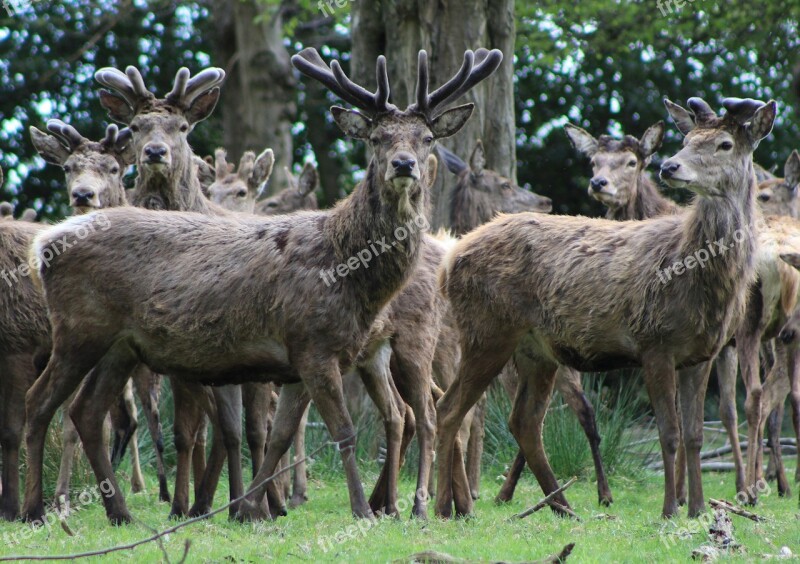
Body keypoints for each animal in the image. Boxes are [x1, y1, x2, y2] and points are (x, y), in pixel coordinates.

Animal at [434, 98, 780, 520]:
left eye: (725, 143)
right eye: (686, 140)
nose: (670, 166)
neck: (696, 271)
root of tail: (450, 260)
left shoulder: (701, 354)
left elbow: (695, 436)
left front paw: (698, 508)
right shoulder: (655, 343)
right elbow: (669, 433)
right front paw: (669, 509)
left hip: (537, 350)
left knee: (524, 421)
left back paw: (561, 506)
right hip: (487, 331)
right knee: (450, 408)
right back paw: (446, 506)